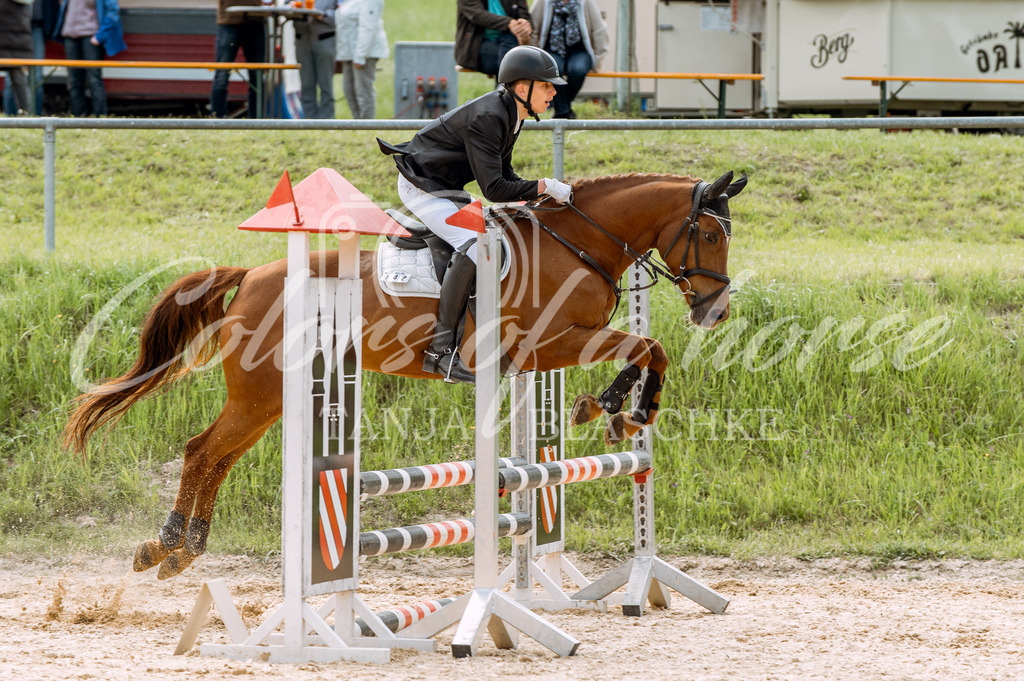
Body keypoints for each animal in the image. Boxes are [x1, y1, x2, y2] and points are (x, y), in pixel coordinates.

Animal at [66, 169, 753, 577]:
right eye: (709, 235)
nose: (715, 312)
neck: (576, 243)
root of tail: (250, 276)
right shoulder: (550, 342)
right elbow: (648, 346)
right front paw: (616, 410)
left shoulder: (546, 353)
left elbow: (648, 348)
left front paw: (620, 411)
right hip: (262, 392)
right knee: (203, 451)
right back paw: (167, 546)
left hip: (269, 401)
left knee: (214, 456)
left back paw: (179, 551)